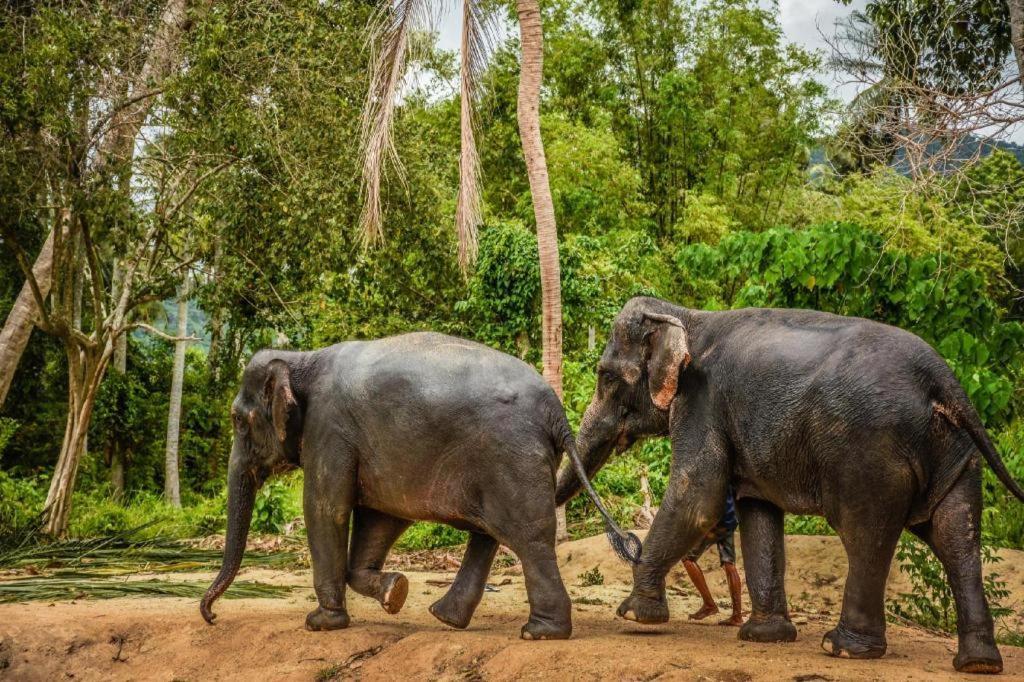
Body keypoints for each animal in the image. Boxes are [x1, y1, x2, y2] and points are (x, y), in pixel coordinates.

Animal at [197, 329, 638, 638]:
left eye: (238, 421)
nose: (212, 615)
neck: (302, 358)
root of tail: (556, 412)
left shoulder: (329, 429)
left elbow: (326, 508)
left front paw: (320, 623)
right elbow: (380, 517)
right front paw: (395, 591)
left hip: (511, 457)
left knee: (529, 538)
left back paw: (539, 633)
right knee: (488, 534)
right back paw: (446, 618)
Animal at [557, 296, 1024, 667]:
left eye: (605, 376)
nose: (624, 540)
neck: (686, 316)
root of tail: (940, 378)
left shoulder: (702, 400)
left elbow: (699, 494)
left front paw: (634, 615)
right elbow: (757, 509)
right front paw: (765, 637)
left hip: (869, 454)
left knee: (866, 535)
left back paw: (843, 648)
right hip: (956, 454)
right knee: (956, 537)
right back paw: (978, 663)